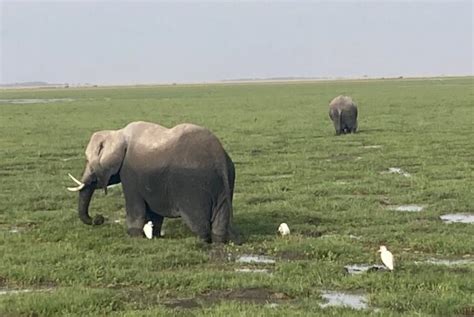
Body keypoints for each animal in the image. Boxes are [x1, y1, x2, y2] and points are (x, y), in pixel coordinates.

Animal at [66, 119, 241, 243]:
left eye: (88, 160)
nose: (99, 219)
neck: (118, 133)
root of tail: (219, 157)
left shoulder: (129, 173)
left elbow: (135, 206)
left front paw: (134, 237)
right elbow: (154, 212)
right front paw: (155, 236)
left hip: (193, 187)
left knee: (198, 222)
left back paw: (200, 242)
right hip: (224, 183)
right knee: (220, 221)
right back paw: (219, 242)